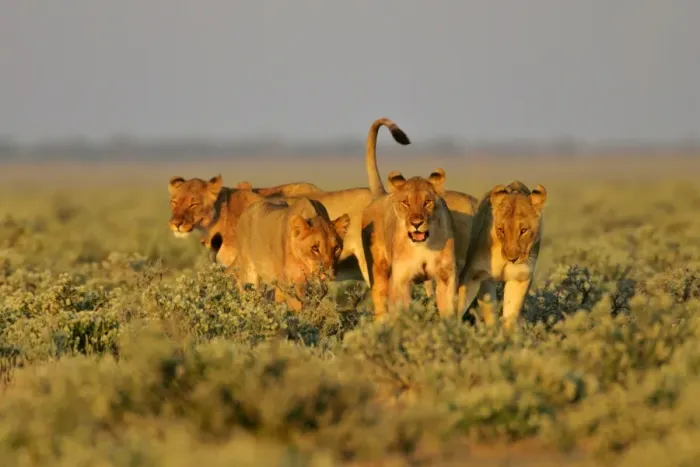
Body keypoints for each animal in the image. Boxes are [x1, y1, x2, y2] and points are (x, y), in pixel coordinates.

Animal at [361, 168, 457, 319]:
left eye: (427, 202)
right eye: (406, 203)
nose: (416, 223)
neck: (423, 246)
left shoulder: (445, 276)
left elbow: (448, 313)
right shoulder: (401, 280)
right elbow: (401, 314)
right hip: (378, 272)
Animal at [457, 180, 547, 329]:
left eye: (523, 230)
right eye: (501, 230)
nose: (512, 259)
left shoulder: (520, 277)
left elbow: (511, 314)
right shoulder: (478, 275)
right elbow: (460, 303)